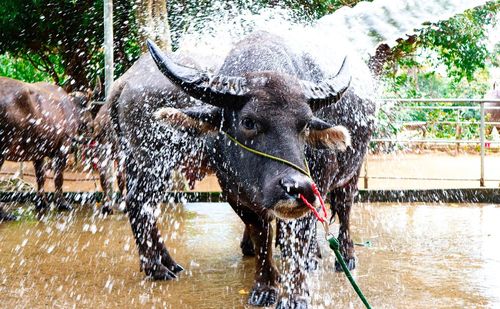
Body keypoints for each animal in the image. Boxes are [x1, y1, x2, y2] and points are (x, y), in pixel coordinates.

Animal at [0, 77, 95, 212]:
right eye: (90, 108)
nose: (92, 127)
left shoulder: (38, 152)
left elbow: (41, 177)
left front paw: (41, 203)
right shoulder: (62, 150)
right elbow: (59, 177)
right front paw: (62, 203)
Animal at [110, 31, 376, 308]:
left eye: (304, 125)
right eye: (248, 121)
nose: (296, 186)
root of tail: (124, 82)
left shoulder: (314, 189)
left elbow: (295, 239)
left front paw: (295, 293)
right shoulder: (236, 194)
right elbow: (263, 236)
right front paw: (267, 285)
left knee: (345, 208)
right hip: (152, 162)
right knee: (140, 204)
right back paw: (158, 268)